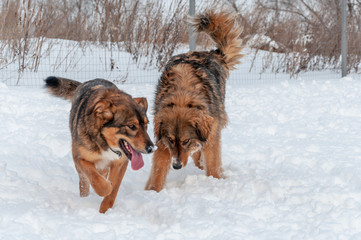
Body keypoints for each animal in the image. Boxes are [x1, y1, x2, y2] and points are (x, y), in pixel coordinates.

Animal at [44, 77, 154, 212]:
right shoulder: (80, 158)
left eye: (146, 124)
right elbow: (97, 180)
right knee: (84, 183)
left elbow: (113, 190)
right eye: (132, 126)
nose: (151, 148)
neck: (105, 143)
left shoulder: (120, 163)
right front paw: (106, 187)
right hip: (81, 169)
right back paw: (85, 197)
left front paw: (104, 211)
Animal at [143, 10, 242, 191]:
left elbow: (213, 163)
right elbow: (158, 170)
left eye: (185, 140)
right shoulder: (162, 142)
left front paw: (217, 180)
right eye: (171, 140)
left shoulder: (212, 134)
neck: (182, 96)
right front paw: (153, 192)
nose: (176, 166)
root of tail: (210, 53)